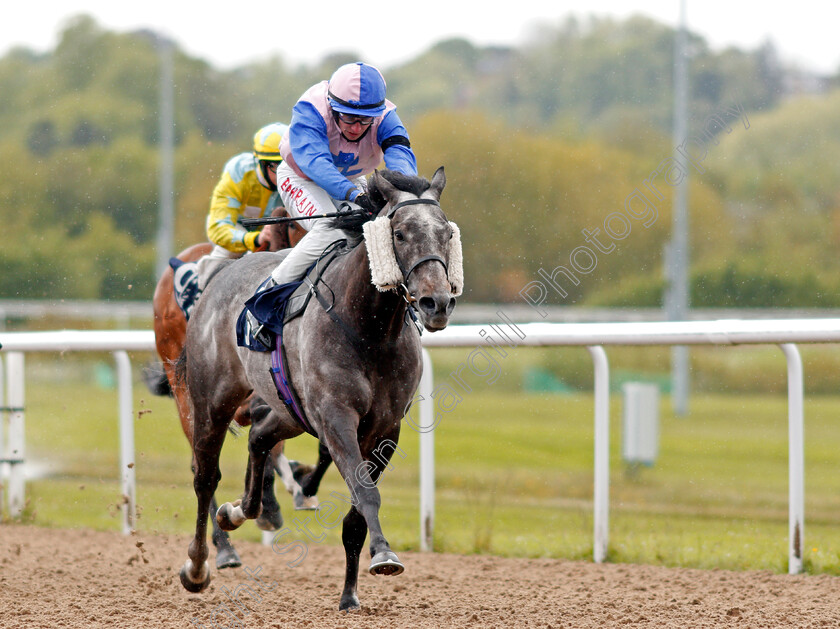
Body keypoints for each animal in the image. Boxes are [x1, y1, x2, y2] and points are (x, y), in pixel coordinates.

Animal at [178, 166, 462, 608]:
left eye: (446, 233)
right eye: (399, 234)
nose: (437, 303)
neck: (370, 330)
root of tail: (221, 275)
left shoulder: (386, 428)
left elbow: (356, 513)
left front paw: (349, 595)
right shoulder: (336, 417)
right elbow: (365, 492)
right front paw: (385, 555)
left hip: (289, 408)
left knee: (259, 437)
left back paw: (240, 510)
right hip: (212, 400)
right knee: (205, 476)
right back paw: (198, 566)